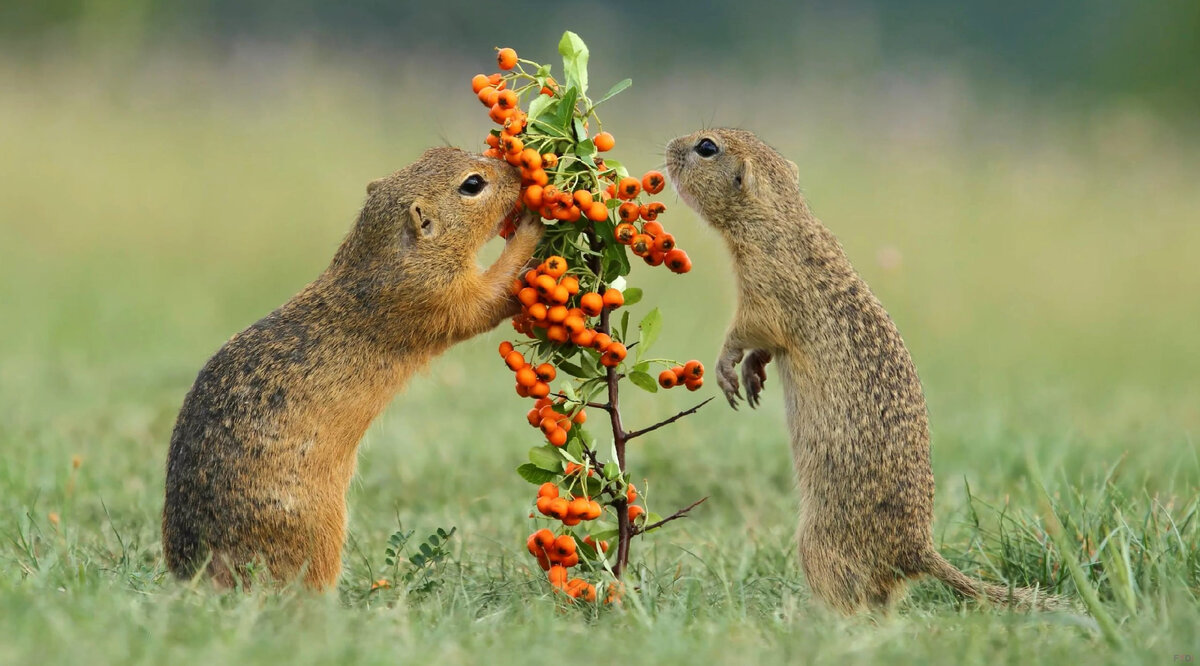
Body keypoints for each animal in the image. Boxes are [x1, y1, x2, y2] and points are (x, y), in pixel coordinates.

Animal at [160, 148, 540, 592]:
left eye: (436, 152)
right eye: (473, 184)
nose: (517, 172)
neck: (378, 258)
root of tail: (198, 575)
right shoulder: (439, 296)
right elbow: (492, 295)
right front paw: (533, 230)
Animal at [667, 126, 1070, 614]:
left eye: (707, 148)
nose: (669, 147)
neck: (780, 217)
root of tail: (916, 552)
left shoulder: (764, 289)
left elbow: (747, 330)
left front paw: (727, 370)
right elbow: (765, 348)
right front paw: (753, 376)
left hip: (817, 544)